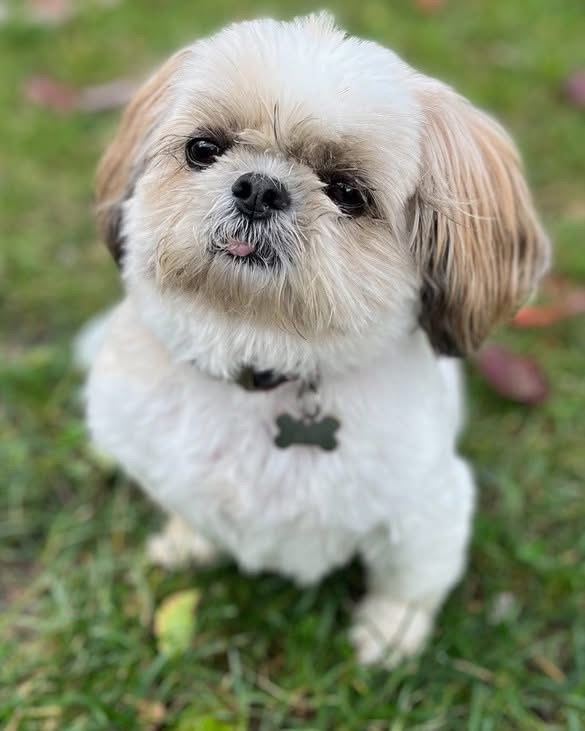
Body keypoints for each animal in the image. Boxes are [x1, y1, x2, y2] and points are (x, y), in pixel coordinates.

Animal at [84, 11, 548, 668]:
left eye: (348, 191)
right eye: (203, 149)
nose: (258, 187)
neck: (258, 355)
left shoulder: (427, 509)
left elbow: (409, 581)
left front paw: (390, 634)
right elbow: (187, 507)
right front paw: (187, 542)